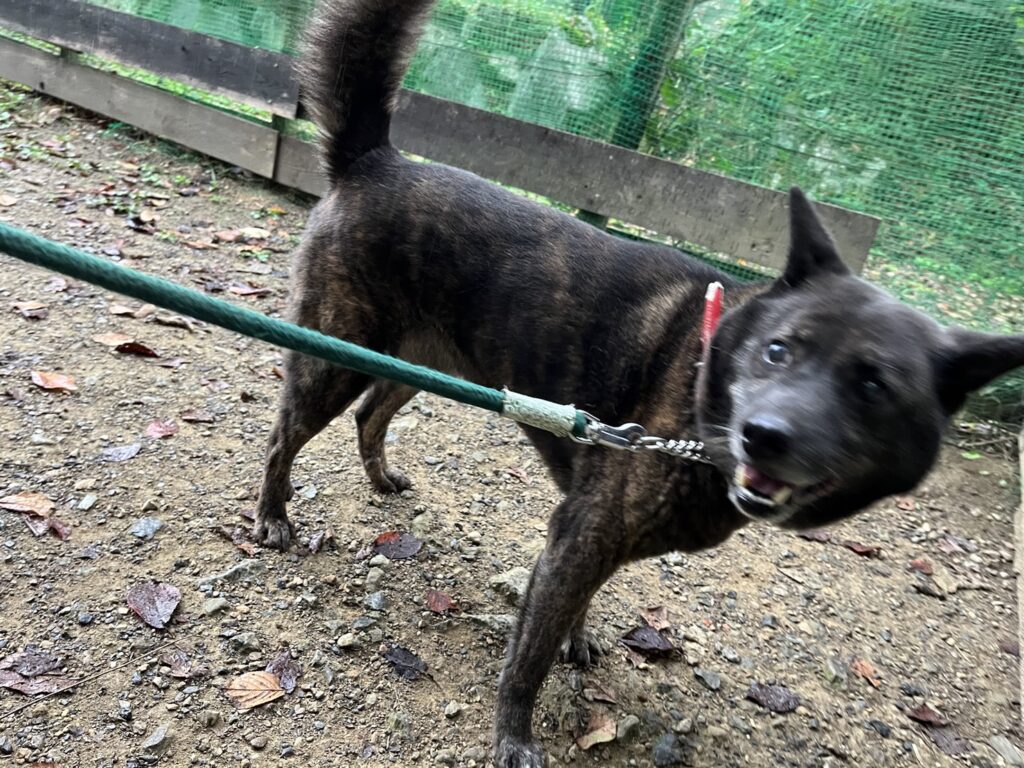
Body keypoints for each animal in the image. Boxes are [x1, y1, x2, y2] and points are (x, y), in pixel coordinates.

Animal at [253, 1, 1024, 764]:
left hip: (417, 361)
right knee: (283, 436)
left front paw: (578, 638)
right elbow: (527, 660)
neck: (706, 380)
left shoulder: (586, 539)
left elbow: (573, 609)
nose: (765, 435)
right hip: (335, 355)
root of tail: (375, 162)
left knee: (370, 415)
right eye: (778, 350)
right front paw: (515, 737)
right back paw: (273, 517)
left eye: (873, 388)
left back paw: (381, 478)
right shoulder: (582, 535)